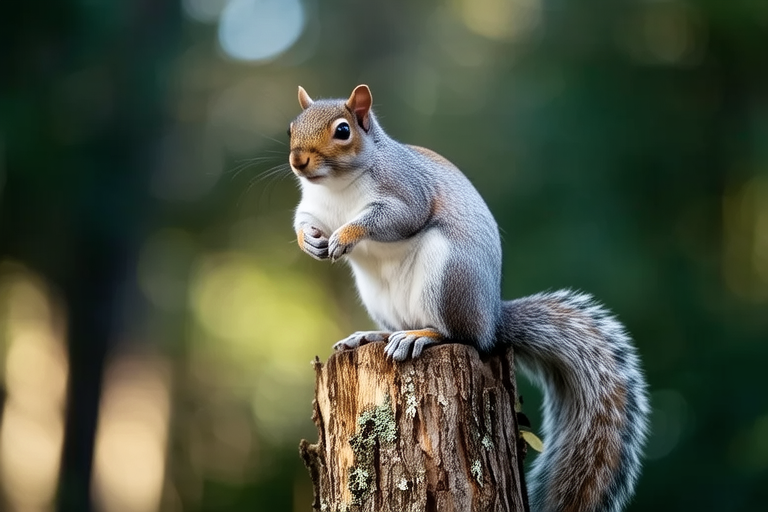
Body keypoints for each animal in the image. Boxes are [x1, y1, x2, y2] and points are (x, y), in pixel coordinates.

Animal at [288, 84, 649, 512]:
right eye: (292, 126)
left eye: (343, 131)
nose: (297, 161)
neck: (336, 186)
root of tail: (491, 318)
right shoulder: (313, 207)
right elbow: (303, 221)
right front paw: (309, 242)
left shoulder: (406, 191)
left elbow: (394, 219)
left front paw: (346, 235)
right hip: (378, 297)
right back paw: (374, 336)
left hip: (447, 275)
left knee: (460, 335)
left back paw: (421, 338)